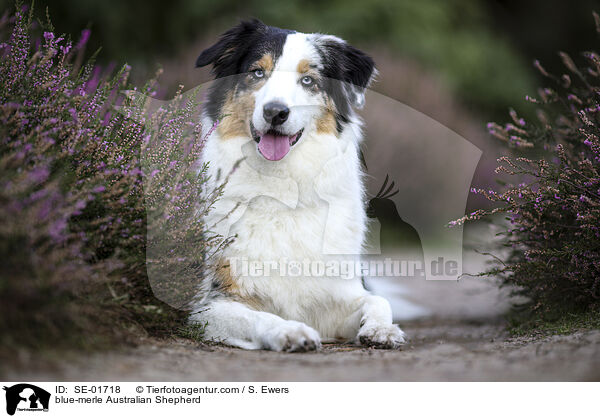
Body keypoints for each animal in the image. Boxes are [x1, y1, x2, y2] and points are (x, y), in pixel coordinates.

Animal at [191, 20, 408, 352]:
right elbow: (260, 317)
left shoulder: (335, 294)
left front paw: (382, 329)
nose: (275, 112)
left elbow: (377, 301)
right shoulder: (210, 303)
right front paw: (291, 331)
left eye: (308, 80)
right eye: (258, 72)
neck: (284, 186)